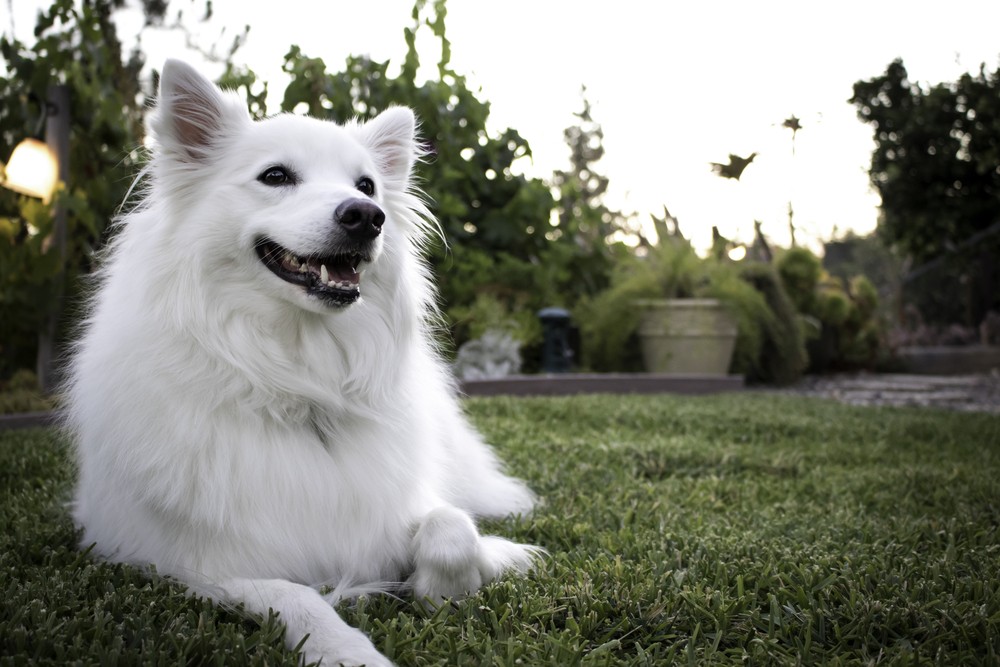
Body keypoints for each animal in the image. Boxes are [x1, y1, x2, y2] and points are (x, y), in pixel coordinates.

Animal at [65, 60, 540, 664]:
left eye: (366, 185)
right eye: (275, 176)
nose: (367, 216)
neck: (298, 380)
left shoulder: (400, 509)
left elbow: (452, 527)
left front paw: (444, 588)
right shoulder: (198, 567)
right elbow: (298, 598)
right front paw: (350, 650)